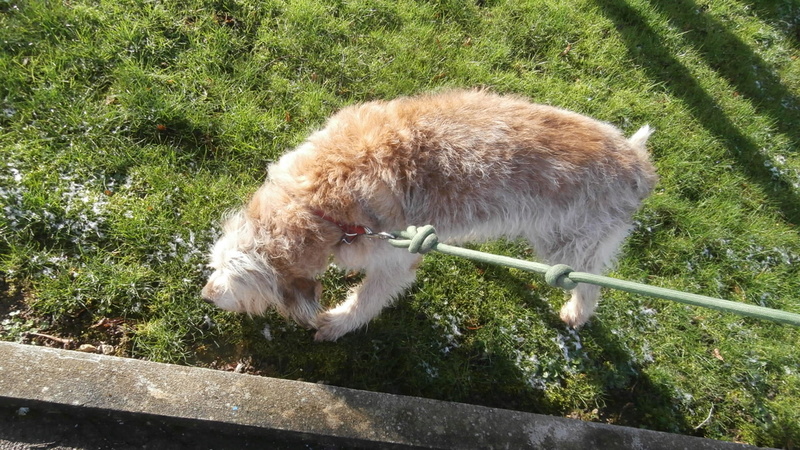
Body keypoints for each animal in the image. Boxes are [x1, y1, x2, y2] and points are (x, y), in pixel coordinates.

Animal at [203, 89, 660, 340]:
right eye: (217, 264)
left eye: (240, 282)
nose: (206, 295)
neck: (320, 196)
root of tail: (637, 160)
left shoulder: (397, 258)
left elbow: (369, 299)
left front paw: (338, 323)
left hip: (567, 246)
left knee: (591, 282)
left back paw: (576, 312)